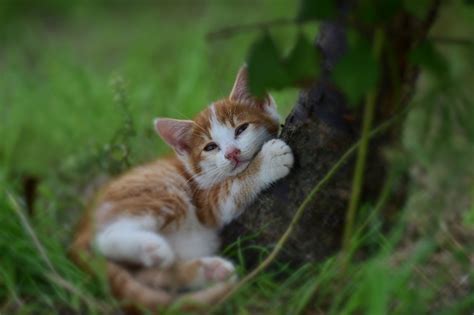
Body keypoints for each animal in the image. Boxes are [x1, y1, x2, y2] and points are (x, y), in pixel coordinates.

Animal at [71, 65, 292, 312]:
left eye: (241, 129)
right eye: (210, 147)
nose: (232, 153)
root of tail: (82, 226)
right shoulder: (206, 203)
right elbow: (234, 186)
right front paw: (269, 160)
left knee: (149, 276)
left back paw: (207, 271)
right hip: (164, 191)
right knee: (101, 241)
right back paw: (152, 247)